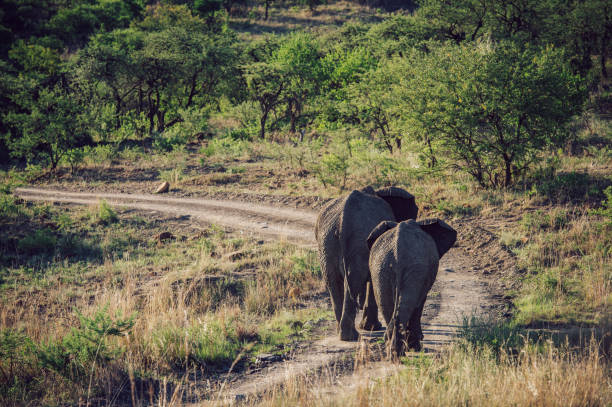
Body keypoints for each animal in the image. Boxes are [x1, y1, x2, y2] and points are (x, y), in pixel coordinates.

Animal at [314, 187, 418, 342]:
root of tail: (344, 218)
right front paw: (372, 328)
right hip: (358, 239)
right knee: (351, 280)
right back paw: (350, 336)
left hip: (327, 241)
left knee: (333, 281)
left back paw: (342, 333)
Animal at [366, 218, 456, 356]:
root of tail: (398, 253)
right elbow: (420, 304)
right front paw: (416, 348)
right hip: (414, 268)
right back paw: (400, 352)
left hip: (380, 269)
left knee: (387, 306)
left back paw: (393, 352)